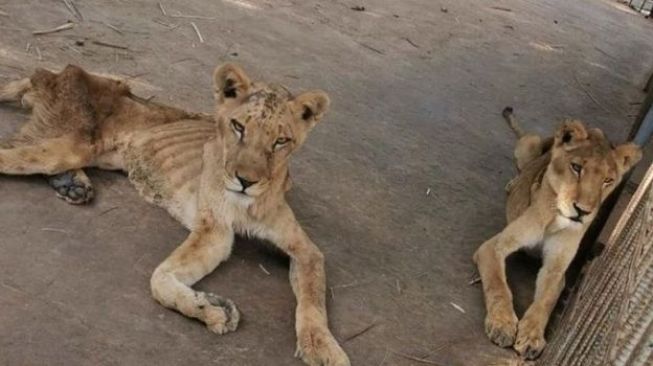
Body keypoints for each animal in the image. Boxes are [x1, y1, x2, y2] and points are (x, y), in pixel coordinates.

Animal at [0, 64, 352, 364]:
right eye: (238, 127)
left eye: (281, 141)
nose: (246, 181)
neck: (247, 203)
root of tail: (56, 73)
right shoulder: (215, 231)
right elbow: (160, 279)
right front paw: (213, 310)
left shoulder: (305, 250)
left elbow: (313, 299)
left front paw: (322, 347)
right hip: (69, 144)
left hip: (89, 152)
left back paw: (73, 185)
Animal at [472, 107, 640, 358]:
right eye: (576, 167)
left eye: (608, 180)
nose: (582, 212)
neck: (556, 219)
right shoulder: (493, 247)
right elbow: (498, 285)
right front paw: (502, 324)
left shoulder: (556, 269)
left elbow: (545, 300)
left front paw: (531, 336)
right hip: (529, 144)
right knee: (523, 165)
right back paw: (512, 183)